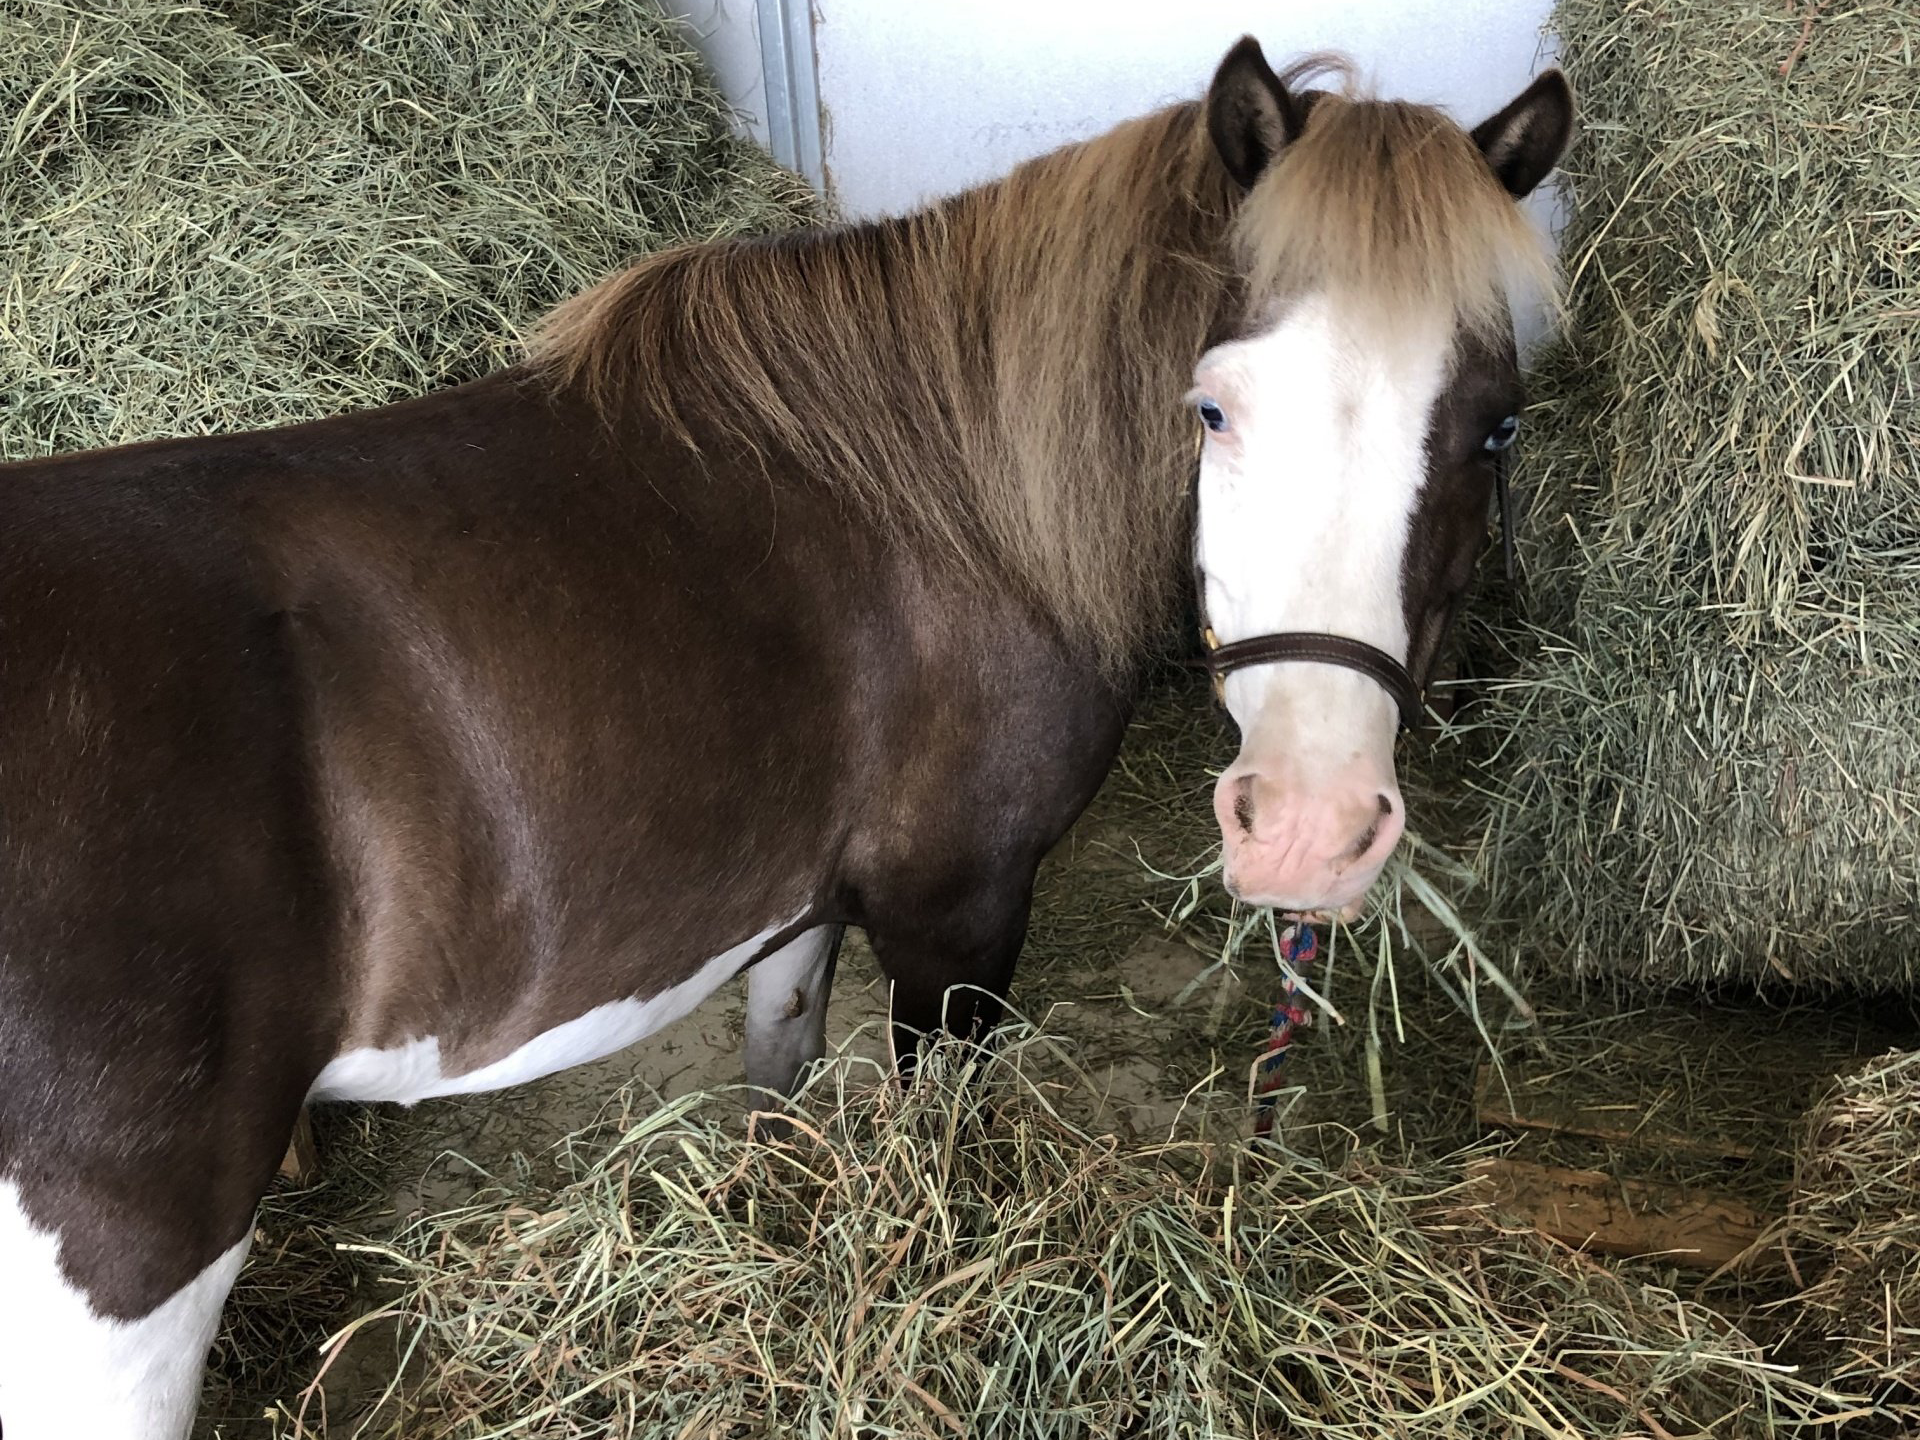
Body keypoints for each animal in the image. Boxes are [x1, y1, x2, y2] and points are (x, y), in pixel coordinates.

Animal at [0, 36, 1570, 1438]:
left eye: (1495, 429)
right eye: (1214, 408)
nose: (1309, 825)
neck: (937, 505)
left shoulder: (801, 900)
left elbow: (783, 1076)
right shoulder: (958, 917)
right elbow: (940, 1136)